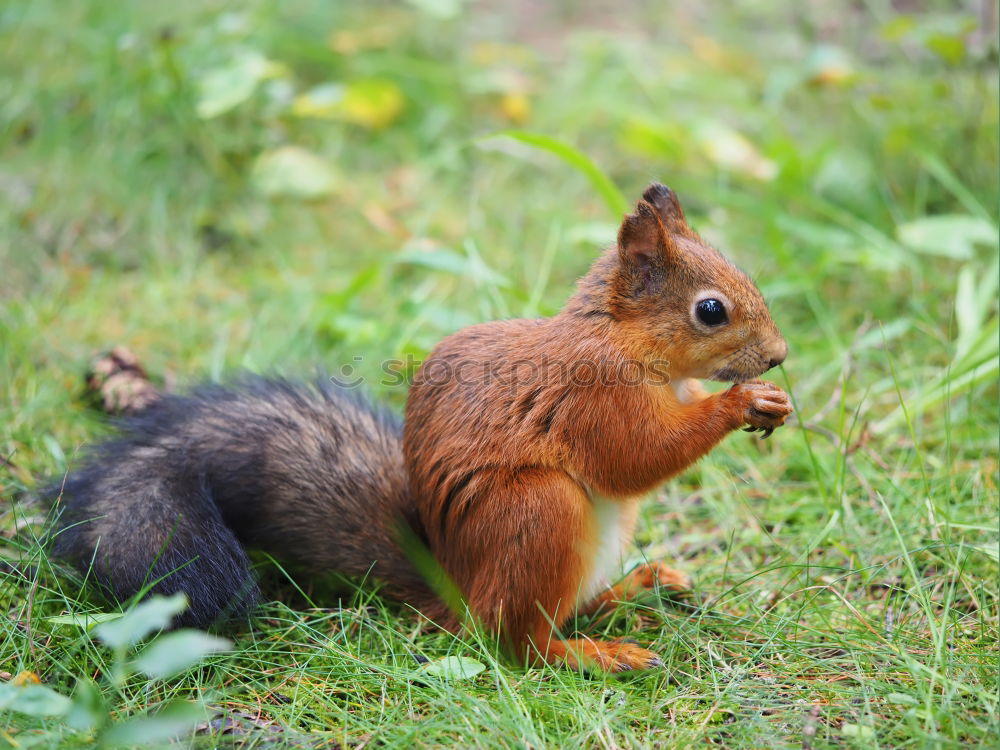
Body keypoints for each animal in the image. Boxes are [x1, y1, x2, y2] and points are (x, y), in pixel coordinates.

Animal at [52, 184, 788, 676]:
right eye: (711, 311)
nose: (780, 356)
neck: (621, 338)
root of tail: (457, 590)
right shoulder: (590, 396)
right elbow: (634, 457)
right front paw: (740, 401)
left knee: (571, 605)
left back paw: (639, 586)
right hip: (537, 512)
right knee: (514, 642)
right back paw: (593, 653)